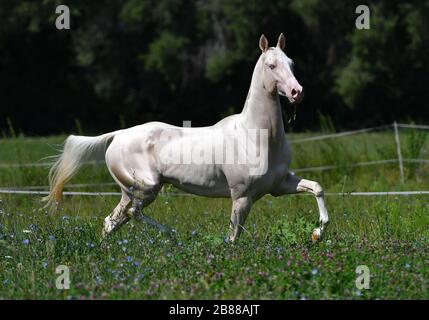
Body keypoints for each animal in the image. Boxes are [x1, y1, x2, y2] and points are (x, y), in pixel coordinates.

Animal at [42, 33, 328, 242]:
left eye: (291, 63)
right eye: (271, 65)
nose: (297, 92)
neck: (257, 137)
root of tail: (117, 135)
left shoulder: (279, 185)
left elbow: (316, 187)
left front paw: (317, 233)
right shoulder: (242, 197)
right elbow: (233, 237)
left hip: (131, 192)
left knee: (112, 221)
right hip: (146, 188)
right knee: (133, 213)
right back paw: (173, 236)